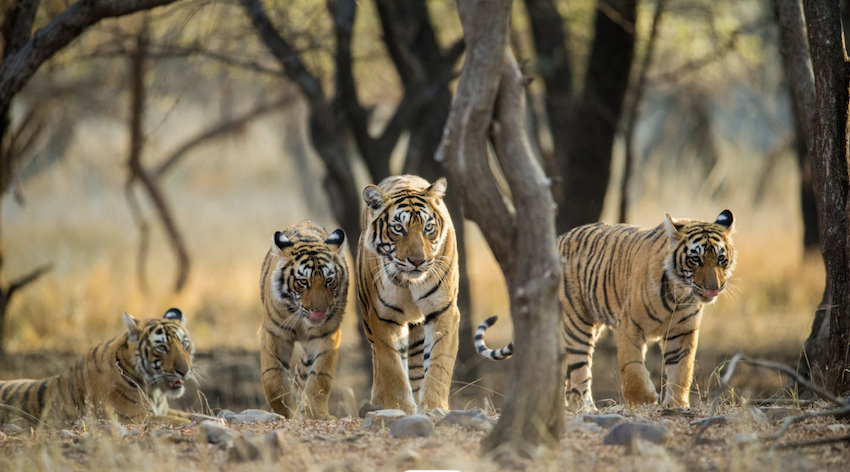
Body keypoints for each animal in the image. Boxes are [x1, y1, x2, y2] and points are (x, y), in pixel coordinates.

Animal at [260, 219, 350, 418]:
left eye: (329, 280)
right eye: (303, 282)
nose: (320, 312)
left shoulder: (327, 335)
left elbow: (320, 377)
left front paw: (315, 413)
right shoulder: (274, 332)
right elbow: (273, 378)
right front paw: (287, 410)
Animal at [354, 173, 460, 412]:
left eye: (428, 228)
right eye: (398, 228)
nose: (418, 261)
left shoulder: (443, 311)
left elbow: (439, 363)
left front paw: (433, 407)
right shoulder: (384, 317)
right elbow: (392, 368)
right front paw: (401, 408)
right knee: (379, 363)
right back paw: (378, 403)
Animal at [476, 210, 736, 410]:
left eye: (721, 259)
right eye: (695, 259)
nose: (714, 288)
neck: (679, 294)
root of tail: (558, 239)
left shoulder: (682, 333)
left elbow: (682, 370)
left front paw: (676, 405)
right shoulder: (629, 326)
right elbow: (632, 369)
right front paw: (644, 400)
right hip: (577, 324)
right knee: (579, 373)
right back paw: (586, 408)